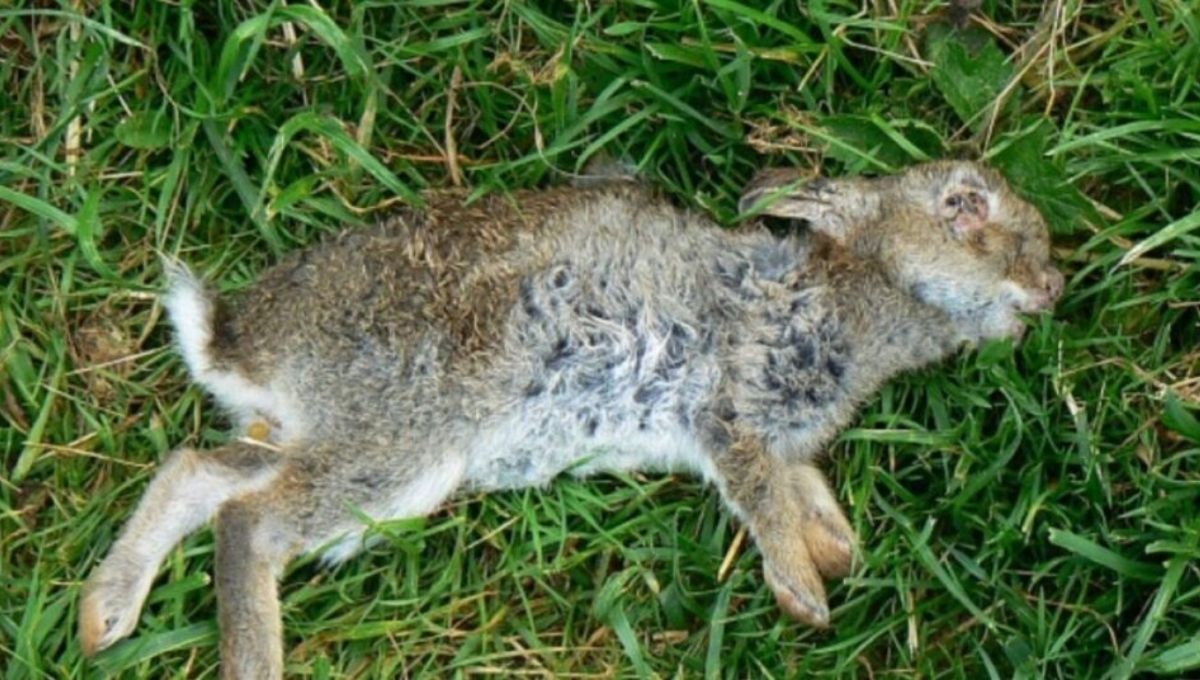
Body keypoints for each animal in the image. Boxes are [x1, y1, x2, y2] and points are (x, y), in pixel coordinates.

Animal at [79, 160, 1064, 678]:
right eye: (963, 205)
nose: (1052, 284)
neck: (855, 293)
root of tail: (239, 343)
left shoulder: (783, 448)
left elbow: (804, 497)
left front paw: (834, 555)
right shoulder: (730, 410)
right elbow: (760, 496)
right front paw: (805, 597)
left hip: (349, 452)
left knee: (201, 472)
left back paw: (105, 616)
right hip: (400, 449)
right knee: (251, 525)